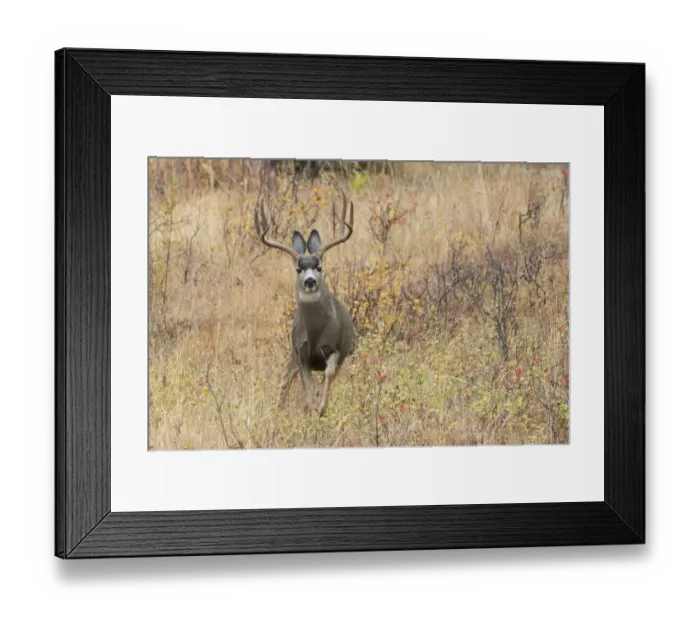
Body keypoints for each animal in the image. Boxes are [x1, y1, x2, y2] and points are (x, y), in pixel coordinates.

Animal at [254, 192, 356, 416]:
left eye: (319, 267)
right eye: (298, 269)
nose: (310, 281)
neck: (316, 332)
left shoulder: (337, 349)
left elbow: (328, 375)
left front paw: (321, 409)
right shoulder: (301, 352)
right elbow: (304, 388)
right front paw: (310, 409)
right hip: (292, 351)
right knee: (286, 380)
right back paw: (279, 409)